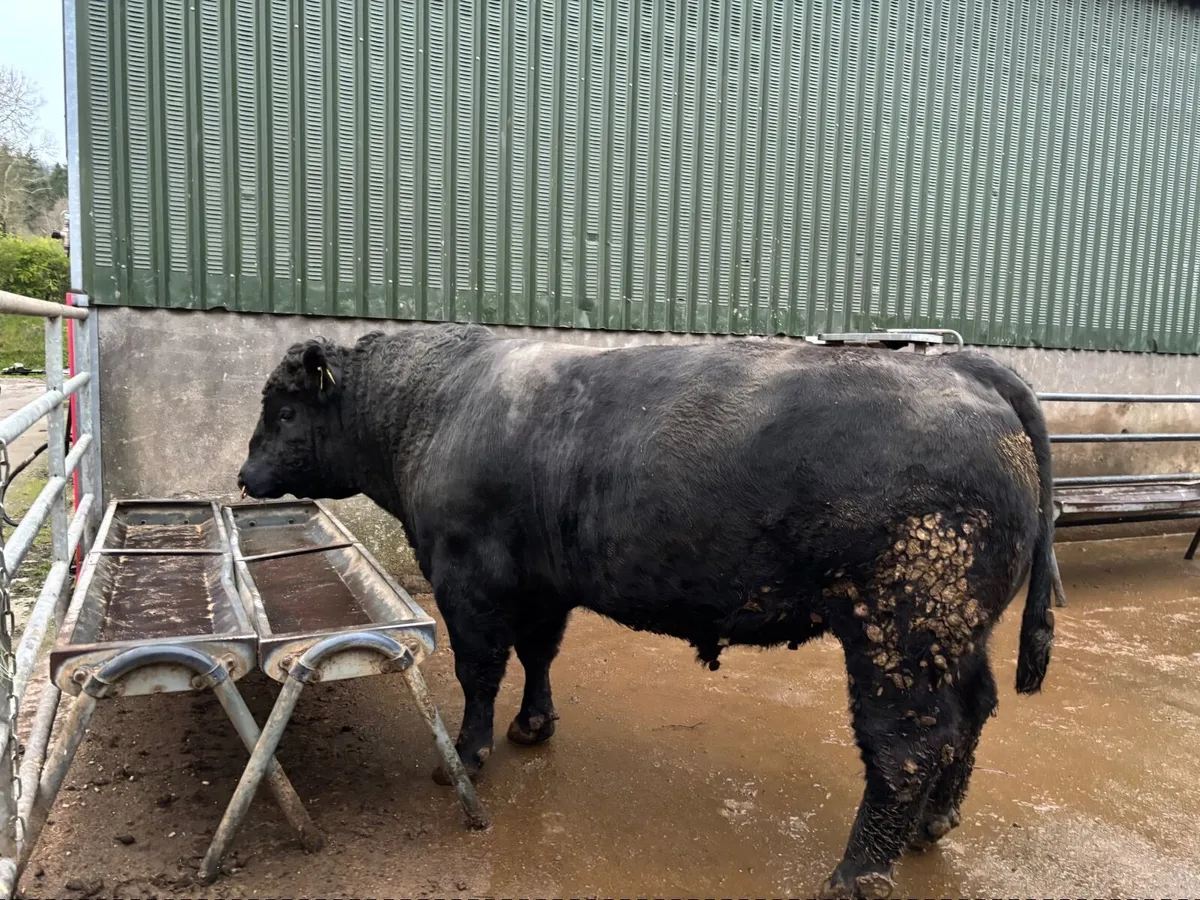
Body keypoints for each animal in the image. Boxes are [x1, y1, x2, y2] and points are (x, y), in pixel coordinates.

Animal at [238, 325, 1055, 899]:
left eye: (283, 408)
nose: (245, 475)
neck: (433, 407)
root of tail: (961, 367)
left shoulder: (468, 578)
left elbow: (479, 671)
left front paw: (465, 757)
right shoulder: (541, 585)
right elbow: (538, 654)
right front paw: (534, 726)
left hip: (902, 628)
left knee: (906, 744)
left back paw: (859, 874)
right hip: (959, 632)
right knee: (971, 714)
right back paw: (935, 822)